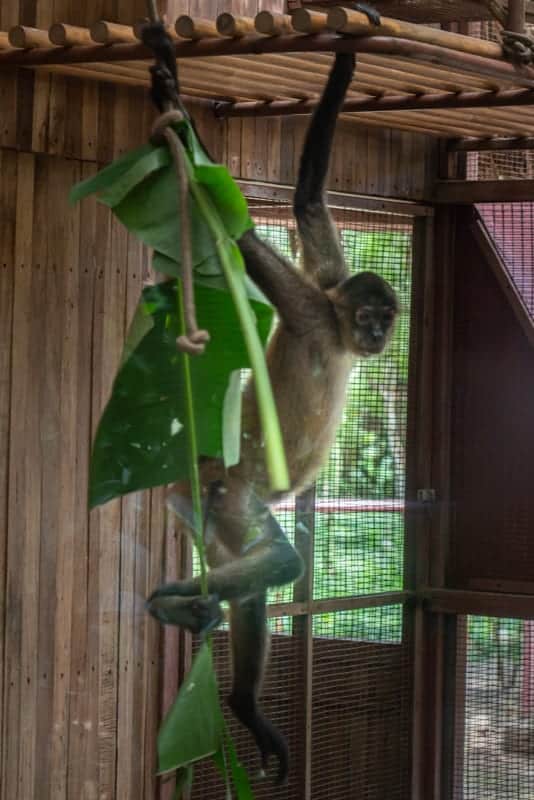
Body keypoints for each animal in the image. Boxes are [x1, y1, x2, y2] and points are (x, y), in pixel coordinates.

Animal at [143, 11, 398, 786]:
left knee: (253, 582)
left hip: (211, 514)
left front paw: (346, 60)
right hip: (231, 491)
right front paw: (171, 95)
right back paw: (175, 602)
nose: (379, 334)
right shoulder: (313, 308)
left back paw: (236, 694)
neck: (337, 335)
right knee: (280, 563)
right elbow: (246, 235)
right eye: (370, 317)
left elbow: (309, 202)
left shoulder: (328, 281)